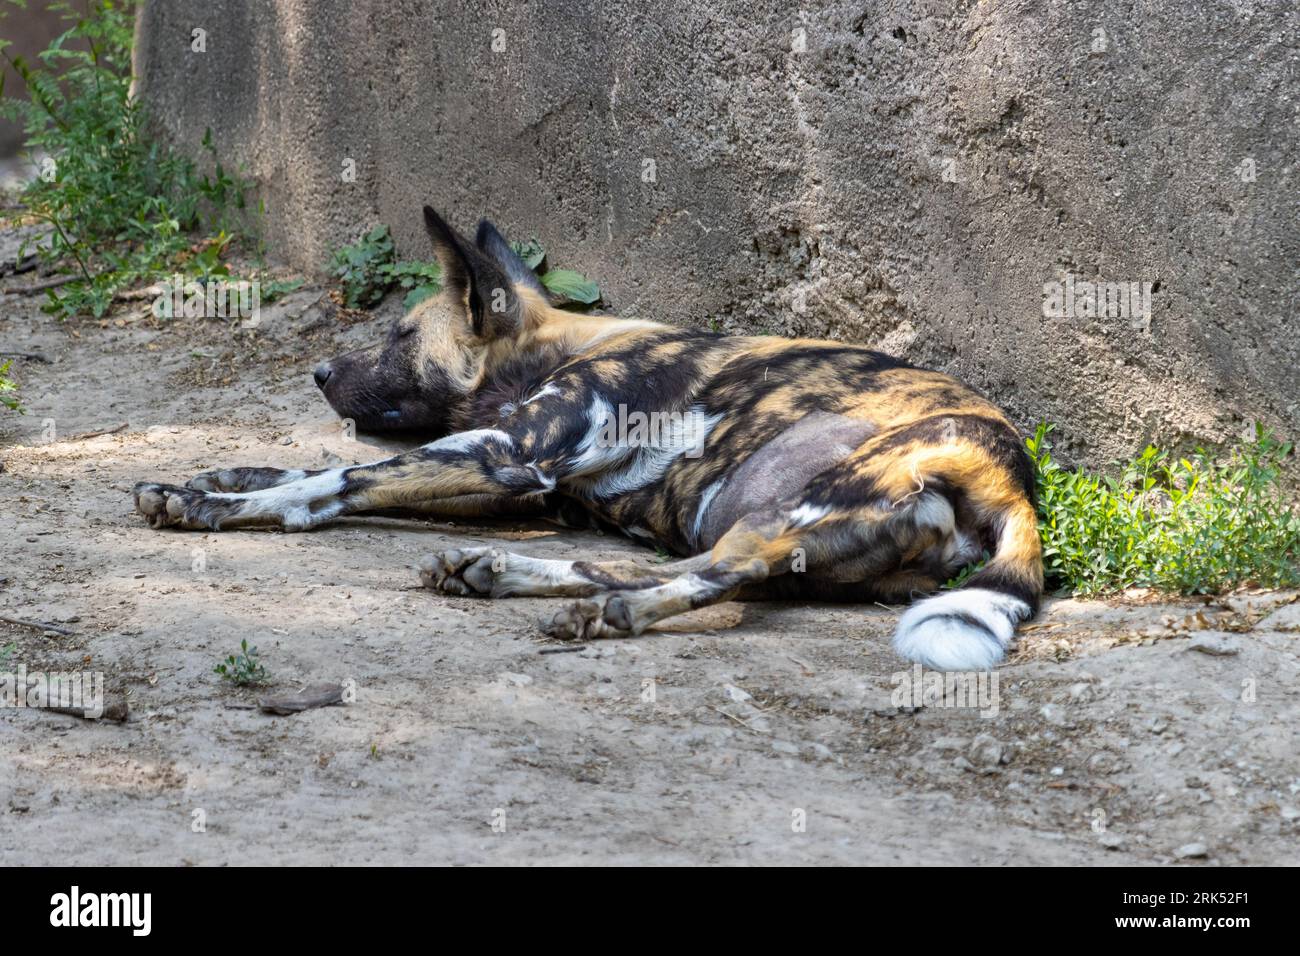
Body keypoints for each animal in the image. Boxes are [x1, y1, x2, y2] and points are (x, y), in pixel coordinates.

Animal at [134, 208, 1045, 671]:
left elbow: (336, 482)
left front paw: (204, 506)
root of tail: (1011, 482)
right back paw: (496, 574)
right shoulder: (516, 481)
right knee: (674, 568)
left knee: (717, 575)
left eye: (399, 337)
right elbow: (318, 466)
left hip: (790, 512)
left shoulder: (508, 457)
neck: (558, 348)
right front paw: (217, 478)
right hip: (767, 528)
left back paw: (606, 615)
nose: (321, 371)